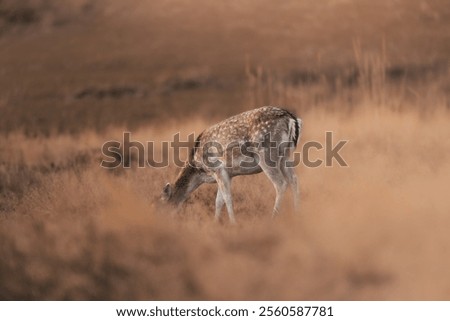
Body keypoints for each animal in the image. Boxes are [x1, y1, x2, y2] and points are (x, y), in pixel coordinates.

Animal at [162, 106, 302, 221]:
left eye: (160, 204)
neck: (200, 171)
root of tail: (291, 119)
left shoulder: (217, 169)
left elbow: (227, 198)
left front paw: (233, 223)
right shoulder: (227, 174)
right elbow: (219, 201)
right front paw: (216, 222)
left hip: (265, 154)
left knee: (281, 183)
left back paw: (273, 217)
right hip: (285, 154)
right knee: (294, 179)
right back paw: (297, 212)